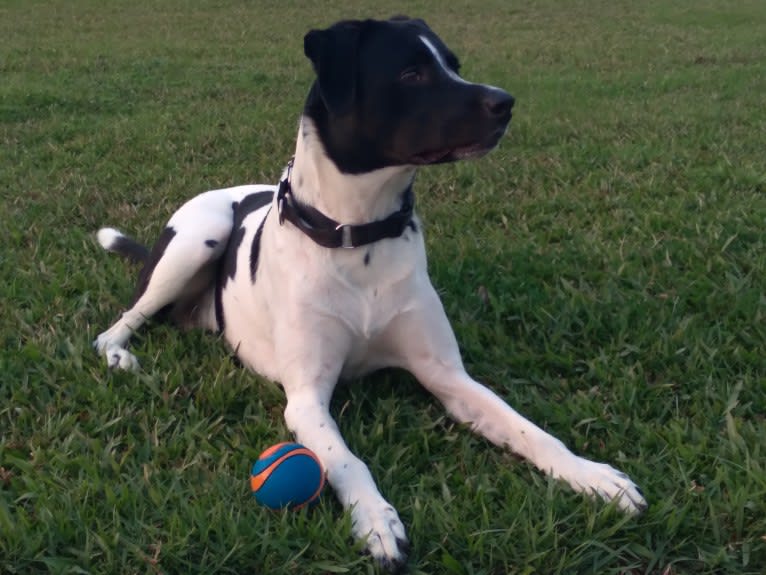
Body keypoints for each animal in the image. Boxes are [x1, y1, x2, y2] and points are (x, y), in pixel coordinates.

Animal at [96, 16, 648, 572]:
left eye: (453, 64)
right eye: (411, 73)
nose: (505, 102)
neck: (358, 234)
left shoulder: (448, 376)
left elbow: (528, 428)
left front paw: (592, 476)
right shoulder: (306, 399)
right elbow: (345, 460)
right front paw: (376, 519)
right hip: (198, 236)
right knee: (119, 322)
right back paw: (119, 354)